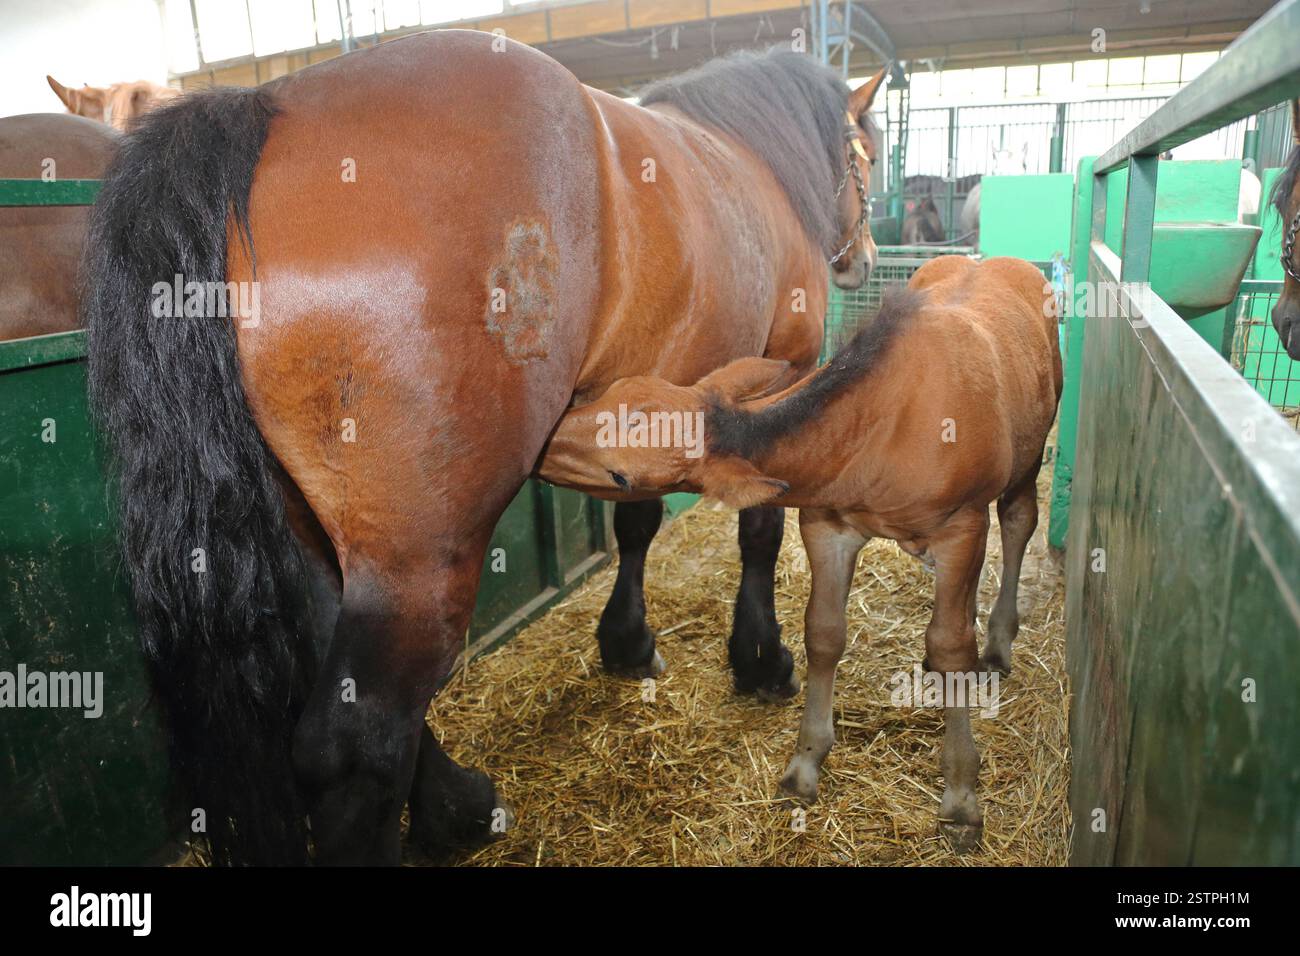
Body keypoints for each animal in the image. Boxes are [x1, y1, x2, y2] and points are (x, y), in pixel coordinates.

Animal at [81, 30, 887, 865]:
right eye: (866, 154)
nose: (865, 256)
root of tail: (265, 108)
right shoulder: (780, 375)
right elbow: (758, 528)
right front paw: (760, 658)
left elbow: (635, 522)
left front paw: (628, 643)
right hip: (422, 553)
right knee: (358, 740)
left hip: (330, 531)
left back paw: (457, 809)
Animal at [539, 256, 1063, 849]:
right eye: (615, 392)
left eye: (621, 477)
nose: (544, 444)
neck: (882, 424)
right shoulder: (825, 526)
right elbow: (825, 633)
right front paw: (805, 764)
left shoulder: (961, 530)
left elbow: (952, 647)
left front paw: (960, 796)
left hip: (1028, 455)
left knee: (1018, 524)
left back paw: (996, 644)